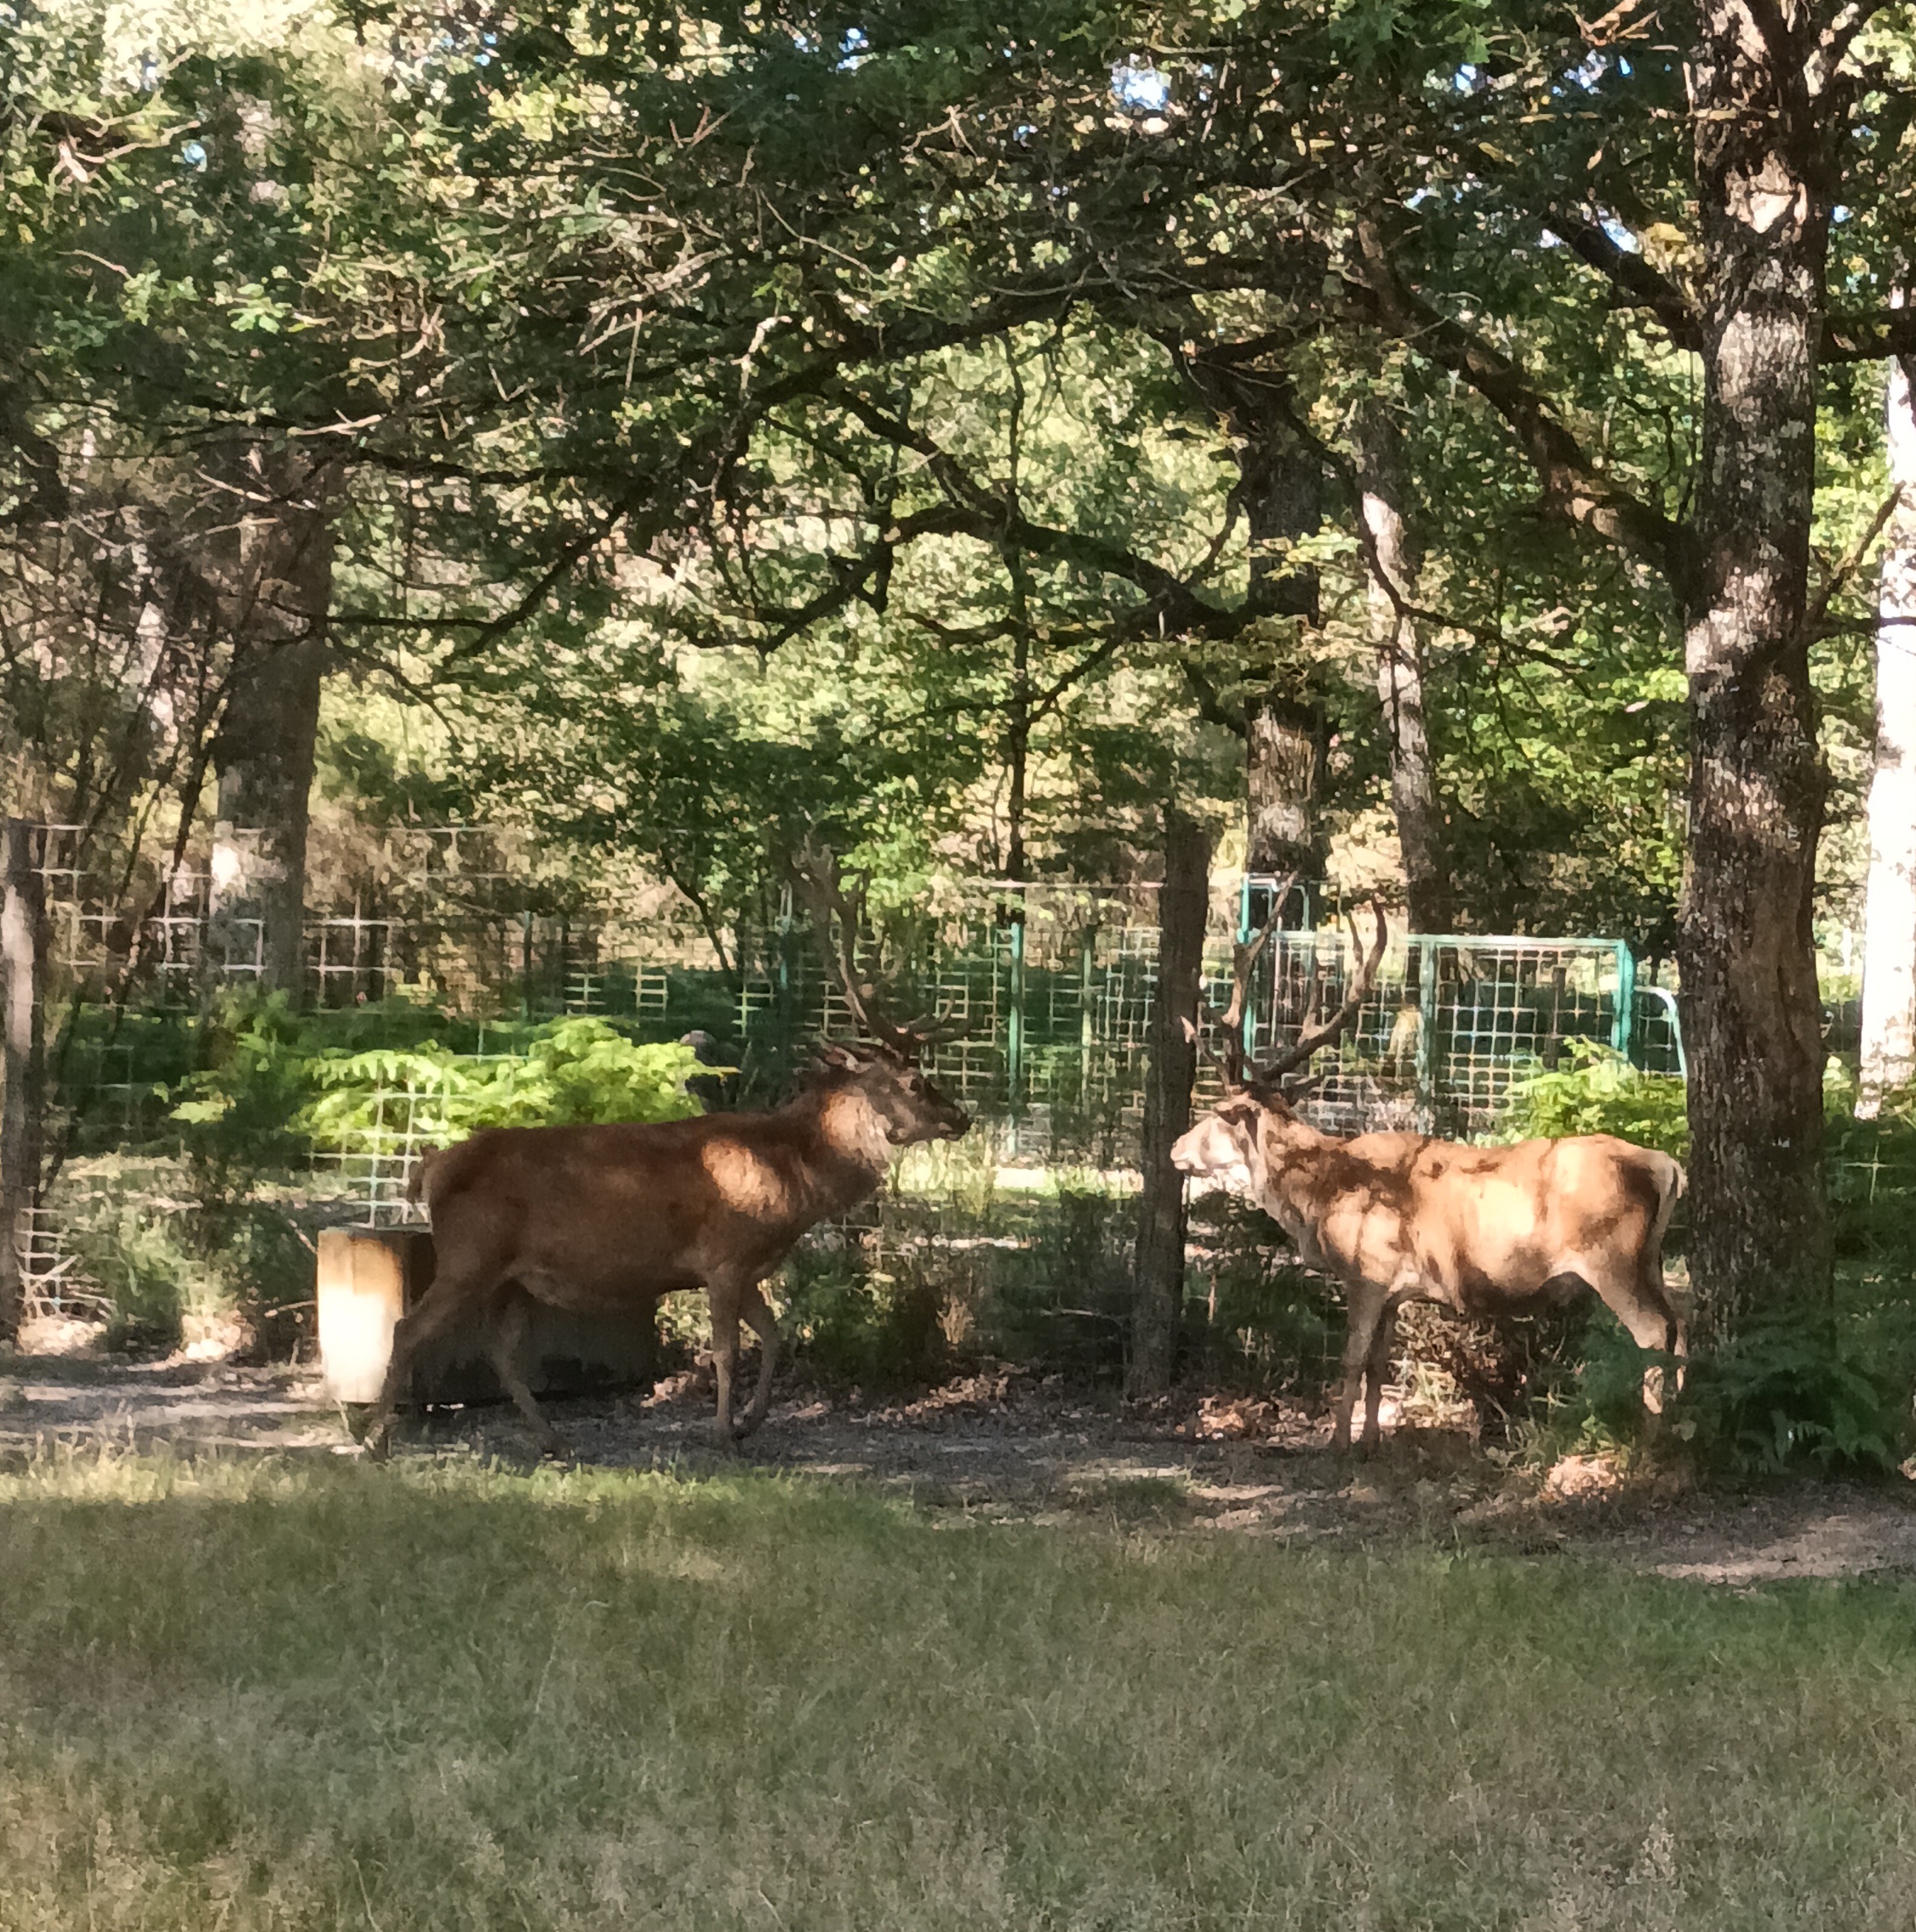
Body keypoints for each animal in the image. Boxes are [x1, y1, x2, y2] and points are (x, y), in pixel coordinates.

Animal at [360, 849, 970, 1460]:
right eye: (915, 1082)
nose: (961, 1117)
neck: (791, 1176)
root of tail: (431, 1168)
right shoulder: (723, 1256)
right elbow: (728, 1351)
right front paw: (723, 1433)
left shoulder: (749, 1269)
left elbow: (775, 1338)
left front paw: (750, 1422)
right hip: (469, 1255)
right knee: (408, 1329)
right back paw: (375, 1440)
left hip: (510, 1278)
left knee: (500, 1351)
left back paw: (552, 1436)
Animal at [1170, 888, 1686, 1450]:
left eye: (1215, 1115)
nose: (1176, 1148)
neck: (1320, 1194)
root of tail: (1665, 1167)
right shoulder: (1396, 1290)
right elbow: (1379, 1363)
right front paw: (1371, 1439)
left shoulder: (1367, 1271)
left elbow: (1351, 1360)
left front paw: (1337, 1442)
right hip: (1650, 1259)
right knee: (1681, 1327)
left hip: (1612, 1257)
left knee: (1655, 1333)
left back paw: (1652, 1437)